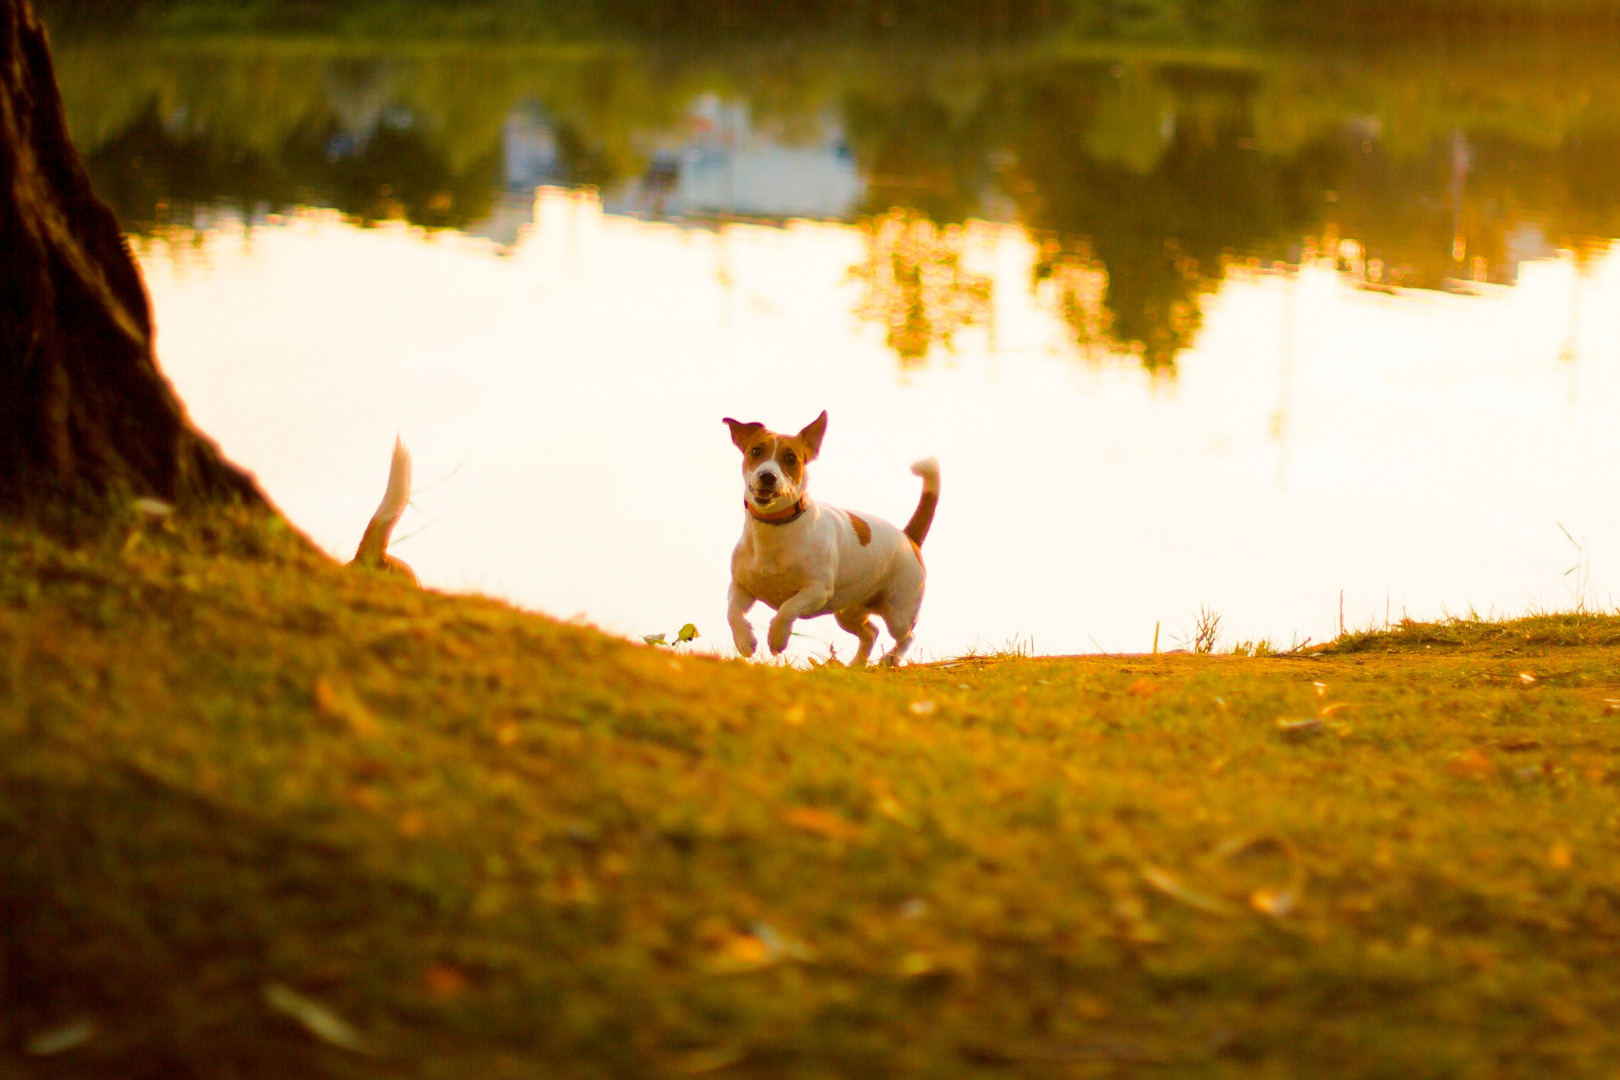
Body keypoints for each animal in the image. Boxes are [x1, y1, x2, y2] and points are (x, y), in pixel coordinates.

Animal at [722, 411, 939, 667]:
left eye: (791, 458)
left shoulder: (817, 589)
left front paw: (777, 637)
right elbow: (732, 613)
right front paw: (745, 641)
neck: (775, 527)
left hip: (899, 611)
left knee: (907, 636)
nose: (767, 476)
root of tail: (908, 537)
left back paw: (890, 659)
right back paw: (856, 666)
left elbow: (787, 607)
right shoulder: (741, 586)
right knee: (871, 632)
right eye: (755, 451)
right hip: (848, 611)